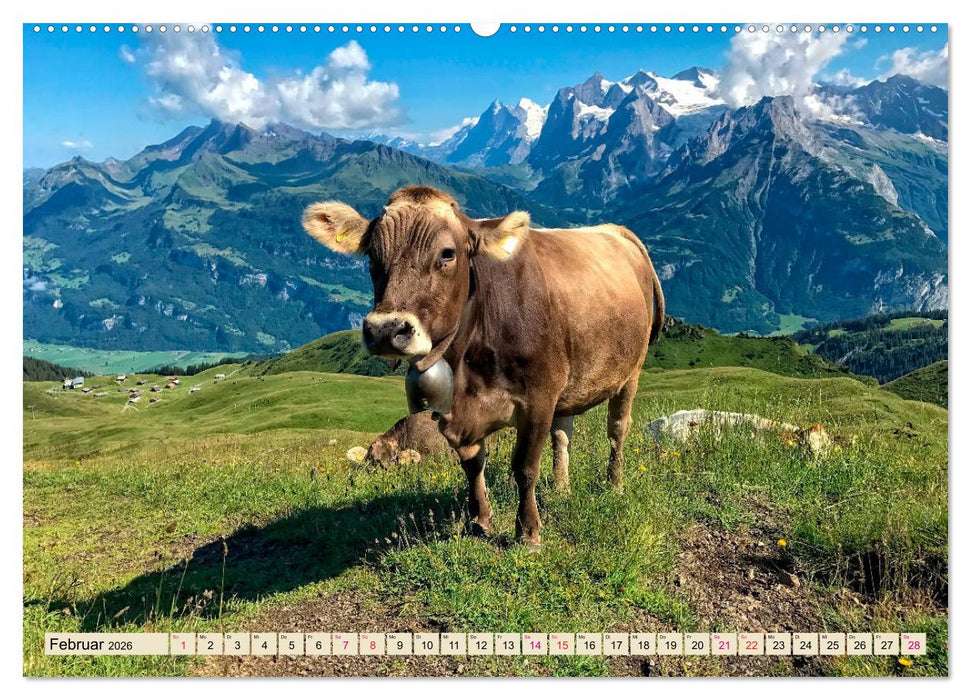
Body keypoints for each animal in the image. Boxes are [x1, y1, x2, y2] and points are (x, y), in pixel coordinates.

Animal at [302, 186, 664, 548]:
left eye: (447, 254)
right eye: (372, 256)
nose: (385, 330)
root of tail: (617, 231)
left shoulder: (540, 397)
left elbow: (525, 466)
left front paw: (528, 532)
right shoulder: (452, 410)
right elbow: (473, 463)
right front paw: (480, 520)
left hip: (631, 371)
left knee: (617, 429)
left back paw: (614, 485)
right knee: (563, 434)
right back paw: (562, 489)